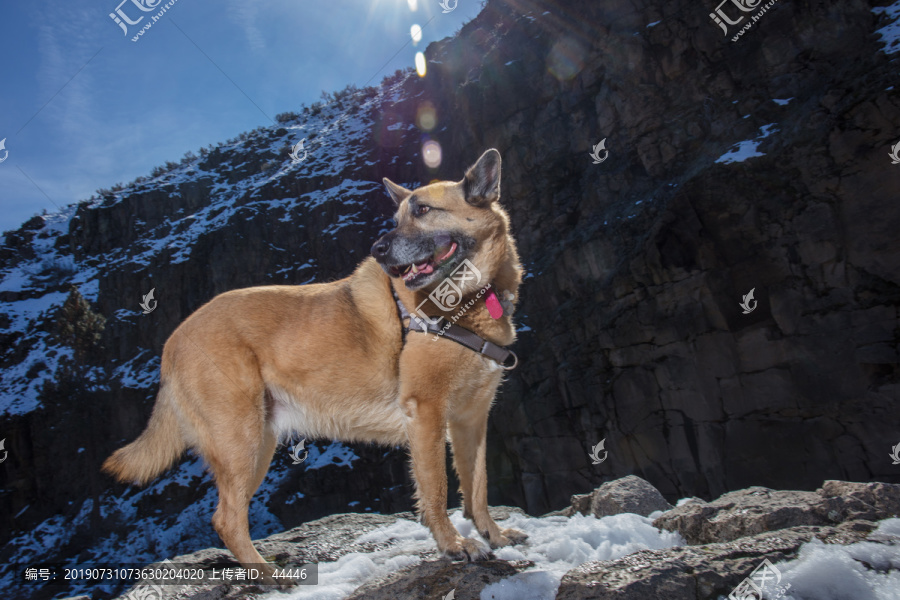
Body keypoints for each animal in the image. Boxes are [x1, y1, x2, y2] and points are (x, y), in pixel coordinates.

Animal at [103, 148, 528, 584]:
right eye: (396, 220)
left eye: (424, 210)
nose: (378, 248)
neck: (468, 303)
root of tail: (173, 341)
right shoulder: (426, 414)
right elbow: (436, 488)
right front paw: (454, 544)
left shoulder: (471, 420)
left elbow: (478, 487)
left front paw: (493, 534)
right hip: (240, 441)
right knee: (226, 518)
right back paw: (269, 577)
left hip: (258, 443)